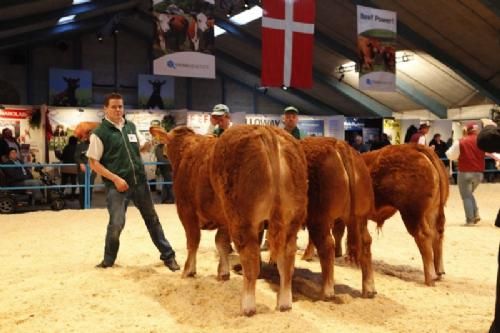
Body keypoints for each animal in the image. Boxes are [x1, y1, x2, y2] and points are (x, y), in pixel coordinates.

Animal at [211, 124, 308, 314]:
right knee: (287, 259)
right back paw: (284, 304)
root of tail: (267, 132)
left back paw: (247, 307)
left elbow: (221, 242)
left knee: (251, 259)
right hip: (292, 219)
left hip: (242, 217)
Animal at [298, 136, 376, 296]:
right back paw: (369, 288)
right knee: (366, 242)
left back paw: (326, 291)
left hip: (319, 218)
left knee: (327, 245)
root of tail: (339, 145)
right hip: (361, 217)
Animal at [360, 143, 450, 286]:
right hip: (432, 212)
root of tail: (413, 147)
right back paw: (439, 272)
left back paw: (430, 277)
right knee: (437, 235)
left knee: (423, 235)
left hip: (412, 214)